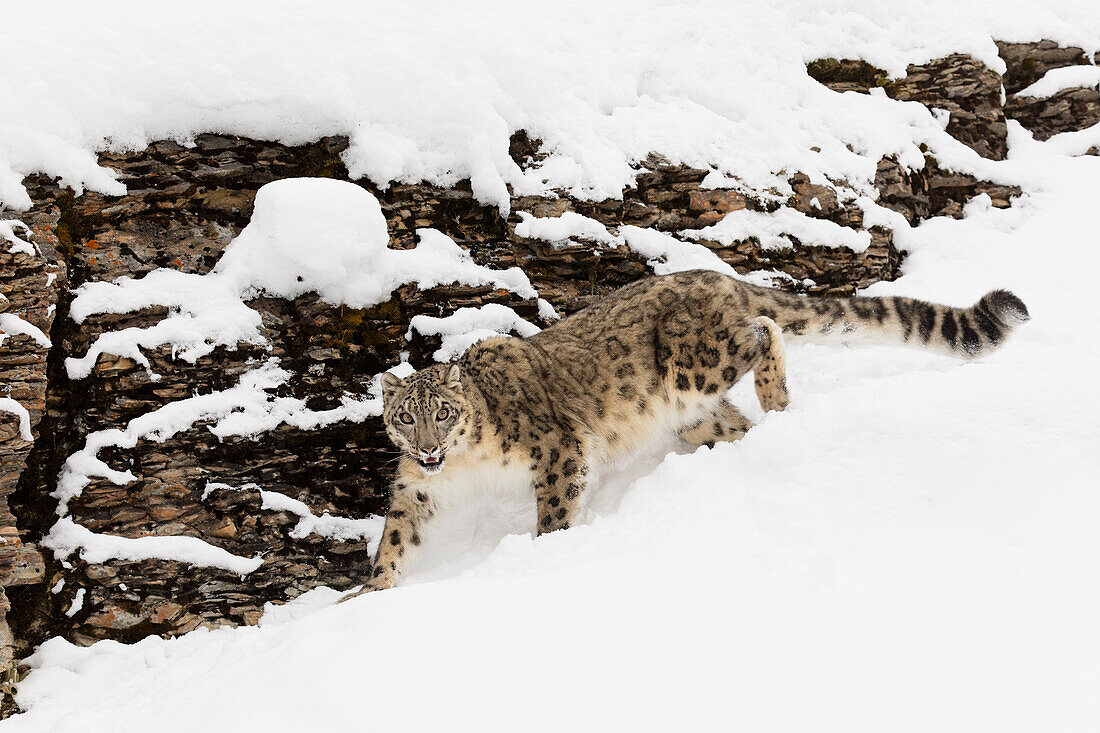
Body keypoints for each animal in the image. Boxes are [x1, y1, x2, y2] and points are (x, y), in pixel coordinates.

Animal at [345, 268, 1029, 594]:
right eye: (406, 417)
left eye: (444, 412)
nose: (429, 448)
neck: (465, 466)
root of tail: (718, 275)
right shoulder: (418, 489)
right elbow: (397, 537)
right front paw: (370, 590)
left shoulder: (557, 451)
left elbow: (556, 510)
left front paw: (546, 552)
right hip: (695, 414)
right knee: (736, 420)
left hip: (695, 361)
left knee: (764, 331)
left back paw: (776, 393)